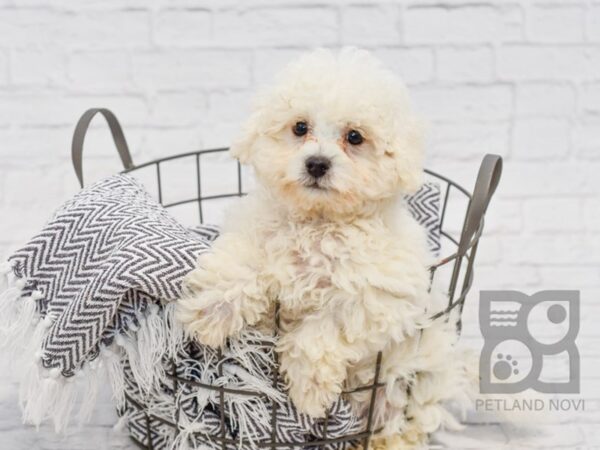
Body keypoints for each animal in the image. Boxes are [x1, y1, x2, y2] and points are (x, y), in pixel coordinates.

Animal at [176, 47, 466, 448]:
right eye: (300, 128)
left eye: (355, 137)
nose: (317, 163)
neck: (318, 222)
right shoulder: (255, 234)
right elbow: (244, 264)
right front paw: (212, 312)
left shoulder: (375, 298)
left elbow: (325, 325)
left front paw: (309, 390)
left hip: (411, 375)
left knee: (406, 414)